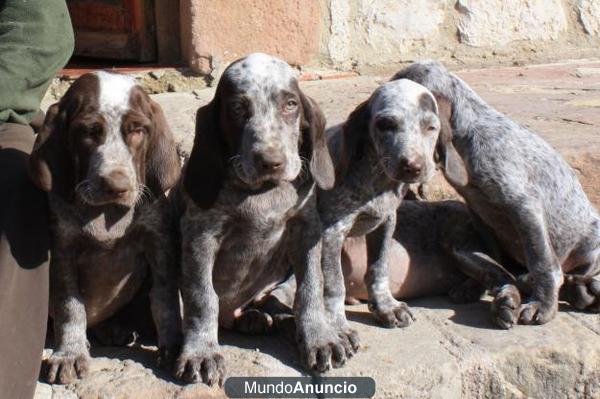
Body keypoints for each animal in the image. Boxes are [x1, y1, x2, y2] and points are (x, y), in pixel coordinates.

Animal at [29, 71, 182, 384]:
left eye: (138, 130)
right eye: (89, 132)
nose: (117, 186)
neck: (106, 213)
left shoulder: (158, 240)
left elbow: (165, 299)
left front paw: (172, 347)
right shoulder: (62, 250)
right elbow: (70, 306)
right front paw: (69, 353)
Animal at [394, 60, 600, 328]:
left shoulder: (524, 207)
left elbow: (542, 262)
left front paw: (542, 304)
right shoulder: (480, 215)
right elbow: (490, 259)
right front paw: (477, 286)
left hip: (591, 244)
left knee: (578, 273)